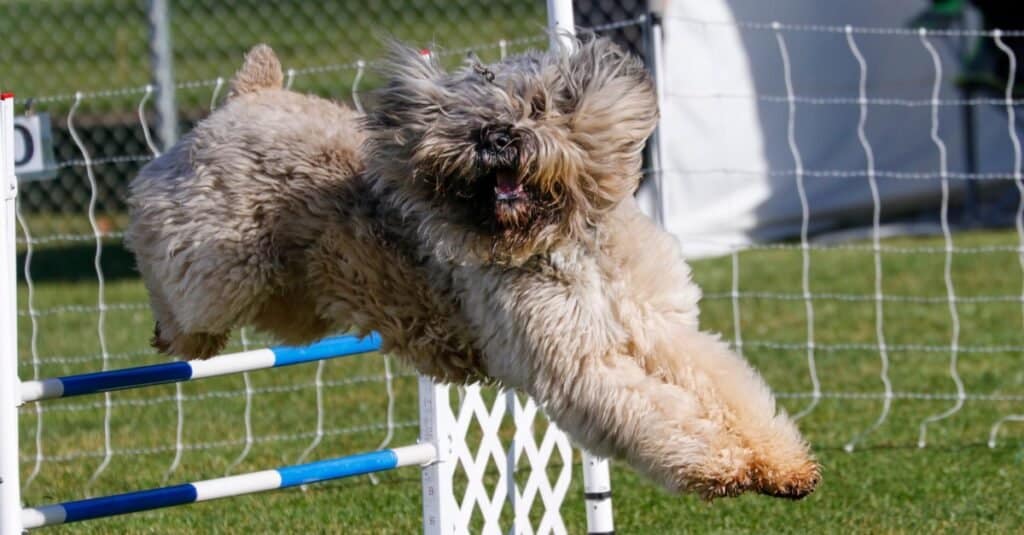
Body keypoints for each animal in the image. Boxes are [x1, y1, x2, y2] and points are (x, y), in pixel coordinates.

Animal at [128, 39, 819, 498]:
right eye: (466, 119)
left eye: (540, 106)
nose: (497, 138)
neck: (560, 242)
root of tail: (251, 96)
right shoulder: (581, 363)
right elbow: (657, 413)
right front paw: (721, 464)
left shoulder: (664, 333)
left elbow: (729, 390)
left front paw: (782, 465)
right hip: (220, 266)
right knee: (168, 278)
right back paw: (168, 332)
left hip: (293, 297)